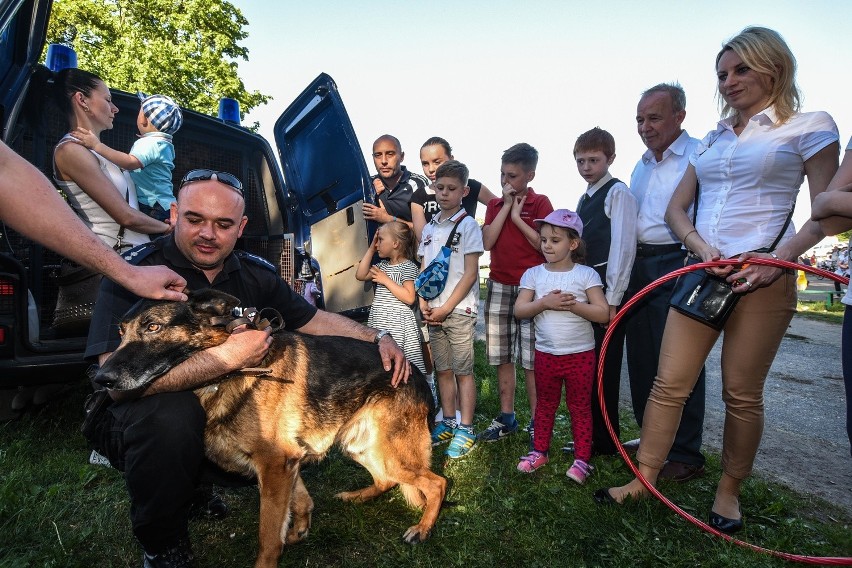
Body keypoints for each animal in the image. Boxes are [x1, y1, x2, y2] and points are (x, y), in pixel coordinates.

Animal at [95, 290, 446, 564]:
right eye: (121, 333)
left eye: (153, 327)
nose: (100, 379)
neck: (228, 371)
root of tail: (417, 373)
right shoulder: (286, 463)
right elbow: (299, 502)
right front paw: (298, 532)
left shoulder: (275, 464)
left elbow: (267, 535)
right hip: (359, 445)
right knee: (387, 480)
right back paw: (357, 497)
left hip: (386, 449)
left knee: (436, 483)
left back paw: (422, 529)